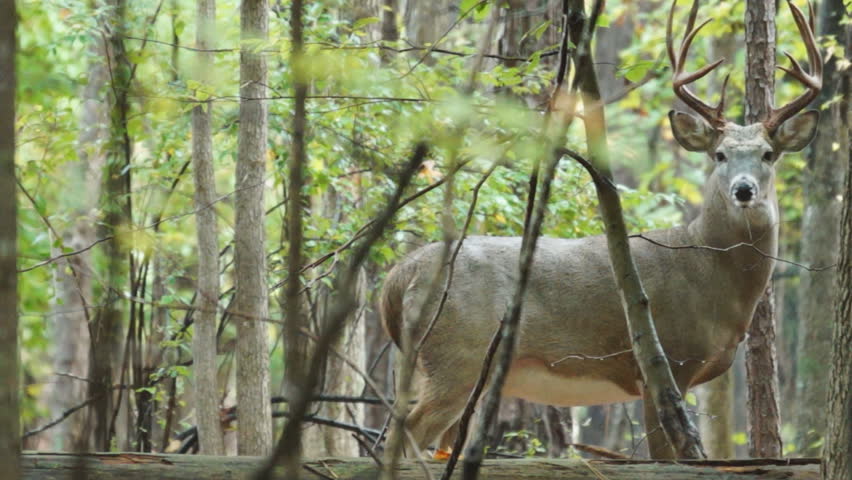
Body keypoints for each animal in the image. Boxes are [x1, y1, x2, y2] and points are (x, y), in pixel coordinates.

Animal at [380, 0, 822, 460]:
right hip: (457, 353)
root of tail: (398, 277)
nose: (743, 190)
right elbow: (664, 458)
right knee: (407, 432)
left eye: (768, 154)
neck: (705, 263)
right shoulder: (666, 360)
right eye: (719, 155)